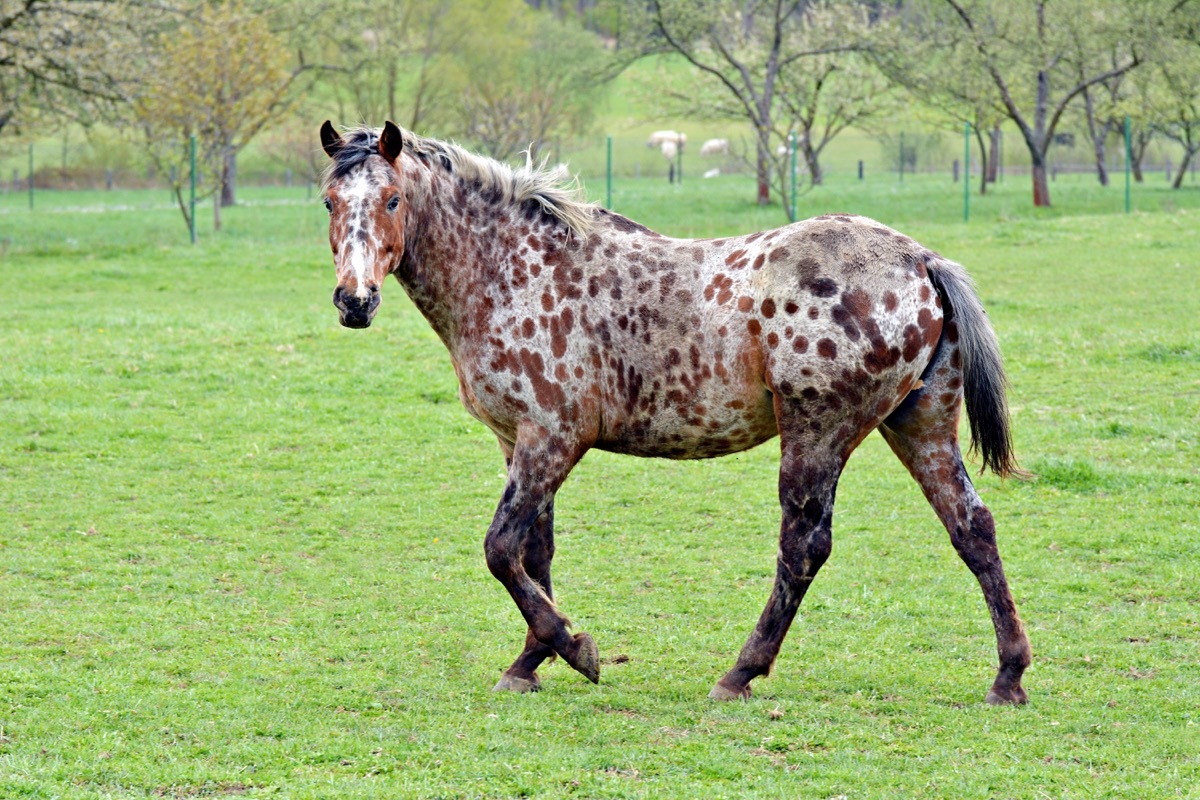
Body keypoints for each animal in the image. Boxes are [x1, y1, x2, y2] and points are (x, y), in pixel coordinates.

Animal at [316, 122, 1032, 705]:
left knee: (803, 547)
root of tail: (921, 260)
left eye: (392, 199)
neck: (513, 272)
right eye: (329, 201)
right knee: (972, 528)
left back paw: (740, 672)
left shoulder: (552, 439)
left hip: (819, 434)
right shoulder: (518, 441)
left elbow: (499, 550)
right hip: (919, 425)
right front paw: (531, 662)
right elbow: (533, 554)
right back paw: (1008, 676)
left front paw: (575, 649)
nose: (354, 302)